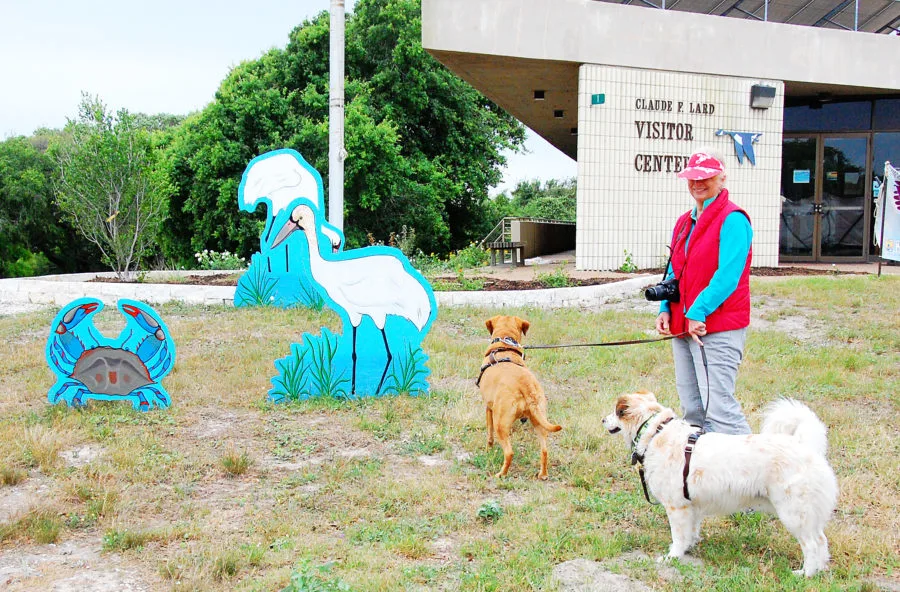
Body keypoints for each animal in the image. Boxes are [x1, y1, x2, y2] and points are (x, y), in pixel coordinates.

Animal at [474, 316, 560, 478]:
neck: (505, 345)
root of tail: (526, 387)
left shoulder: (489, 409)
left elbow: (489, 436)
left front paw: (488, 451)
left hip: (500, 423)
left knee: (509, 453)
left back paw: (501, 474)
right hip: (539, 421)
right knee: (544, 450)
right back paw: (543, 474)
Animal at [600, 390, 840, 576]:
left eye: (616, 412)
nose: (603, 420)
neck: (656, 432)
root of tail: (805, 446)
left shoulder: (676, 507)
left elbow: (678, 536)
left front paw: (672, 556)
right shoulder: (691, 506)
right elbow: (690, 532)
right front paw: (689, 547)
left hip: (794, 513)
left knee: (813, 544)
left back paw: (805, 574)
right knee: (822, 541)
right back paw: (818, 571)